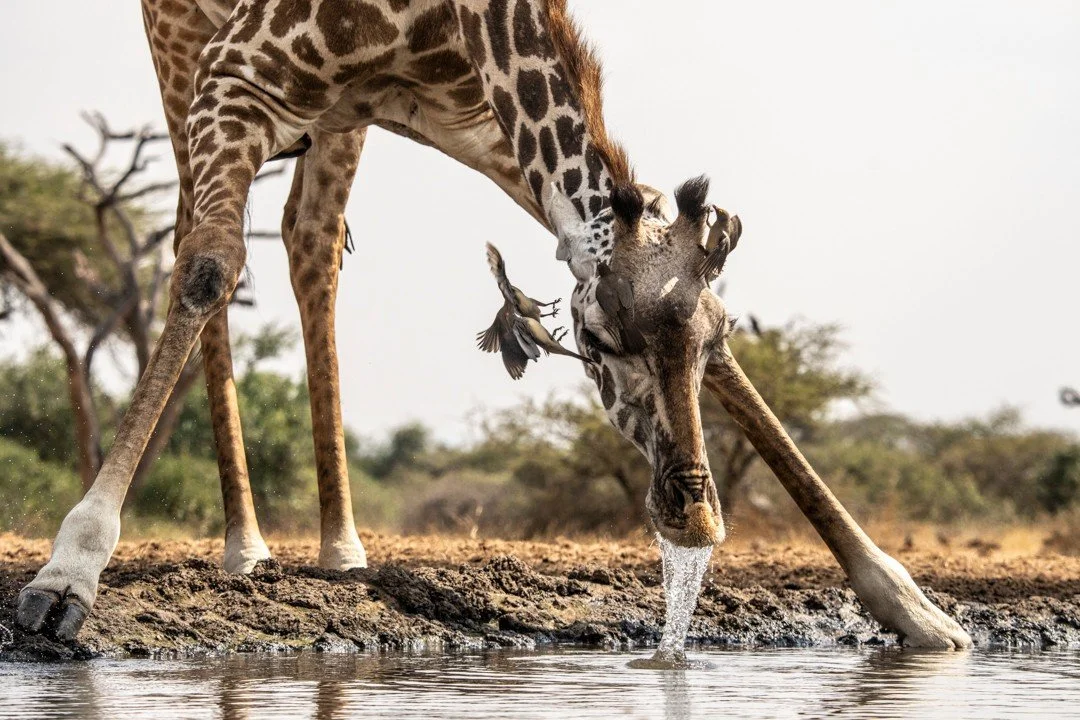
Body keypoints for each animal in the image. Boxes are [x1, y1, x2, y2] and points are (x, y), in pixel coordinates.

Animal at [15, 0, 972, 649]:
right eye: (601, 343)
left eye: (717, 339)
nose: (694, 521)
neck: (453, 21)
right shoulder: (235, 73)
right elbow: (208, 267)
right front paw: (69, 572)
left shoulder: (476, 124)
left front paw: (915, 609)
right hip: (181, 44)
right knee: (199, 239)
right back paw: (245, 545)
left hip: (339, 119)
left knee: (309, 245)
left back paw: (340, 544)